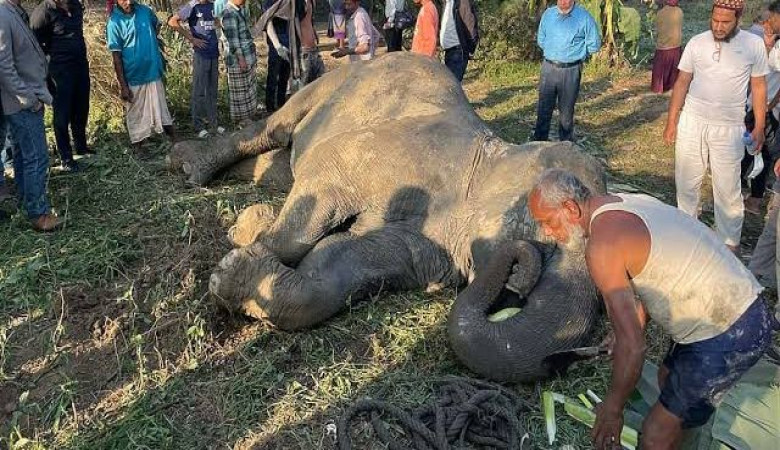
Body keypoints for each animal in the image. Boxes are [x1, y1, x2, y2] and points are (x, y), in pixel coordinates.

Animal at [168, 53, 606, 382]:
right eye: (554, 230)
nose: (517, 277)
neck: (485, 163)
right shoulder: (391, 153)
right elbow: (321, 184)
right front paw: (237, 259)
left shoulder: (427, 247)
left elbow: (344, 263)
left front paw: (246, 261)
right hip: (337, 79)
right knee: (277, 128)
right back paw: (190, 166)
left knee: (280, 163)